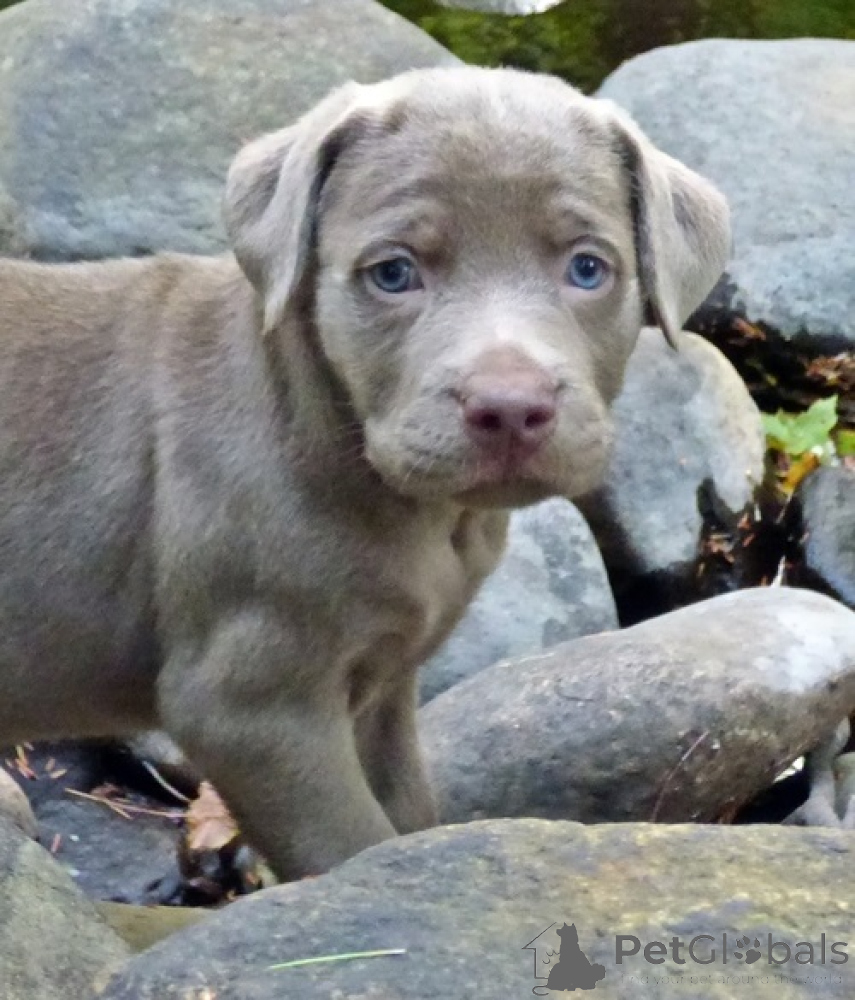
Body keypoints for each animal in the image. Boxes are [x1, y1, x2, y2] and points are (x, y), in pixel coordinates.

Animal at [0, 66, 729, 880]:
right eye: (393, 273)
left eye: (587, 268)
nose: (510, 407)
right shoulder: (253, 708)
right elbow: (350, 848)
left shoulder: (381, 686)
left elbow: (407, 813)